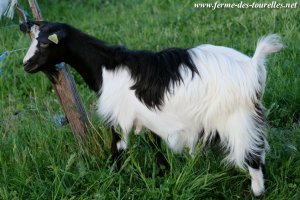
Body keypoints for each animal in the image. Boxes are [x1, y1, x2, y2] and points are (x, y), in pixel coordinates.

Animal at [19, 21, 282, 196]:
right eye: (32, 39)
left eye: (45, 43)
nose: (26, 64)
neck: (105, 66)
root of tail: (252, 67)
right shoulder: (149, 118)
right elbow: (156, 147)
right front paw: (162, 174)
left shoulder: (119, 118)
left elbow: (117, 149)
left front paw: (111, 179)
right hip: (251, 116)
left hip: (236, 118)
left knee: (252, 156)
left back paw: (257, 191)